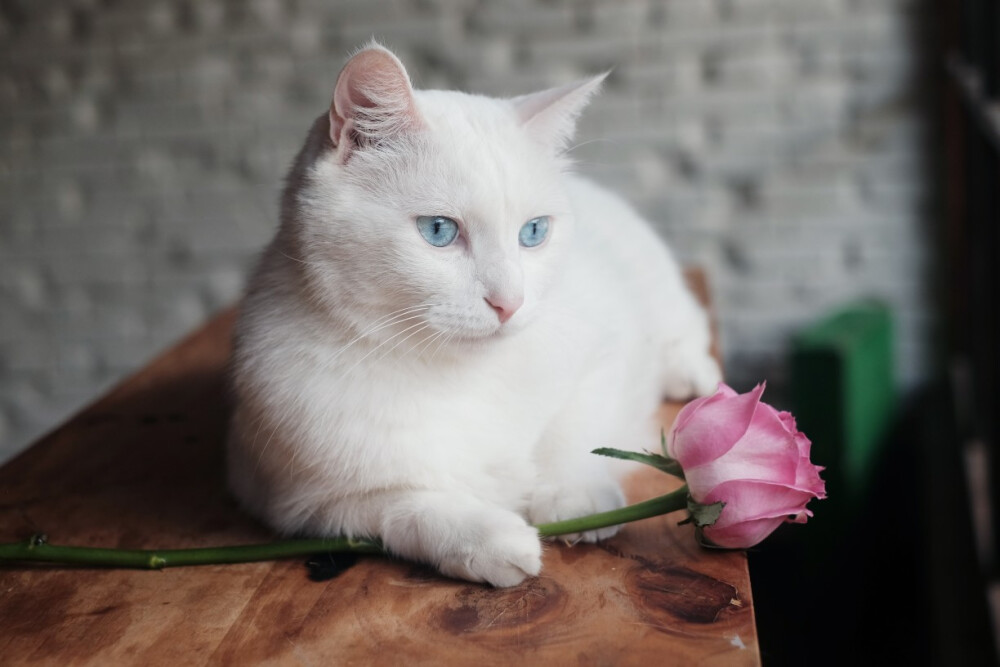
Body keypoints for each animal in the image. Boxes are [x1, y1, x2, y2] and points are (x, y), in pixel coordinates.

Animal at [229, 44, 720, 588]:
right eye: (439, 230)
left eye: (534, 232)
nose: (510, 302)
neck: (457, 370)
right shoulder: (304, 502)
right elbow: (407, 507)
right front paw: (487, 540)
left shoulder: (600, 351)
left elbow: (574, 430)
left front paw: (575, 495)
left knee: (683, 333)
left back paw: (693, 377)